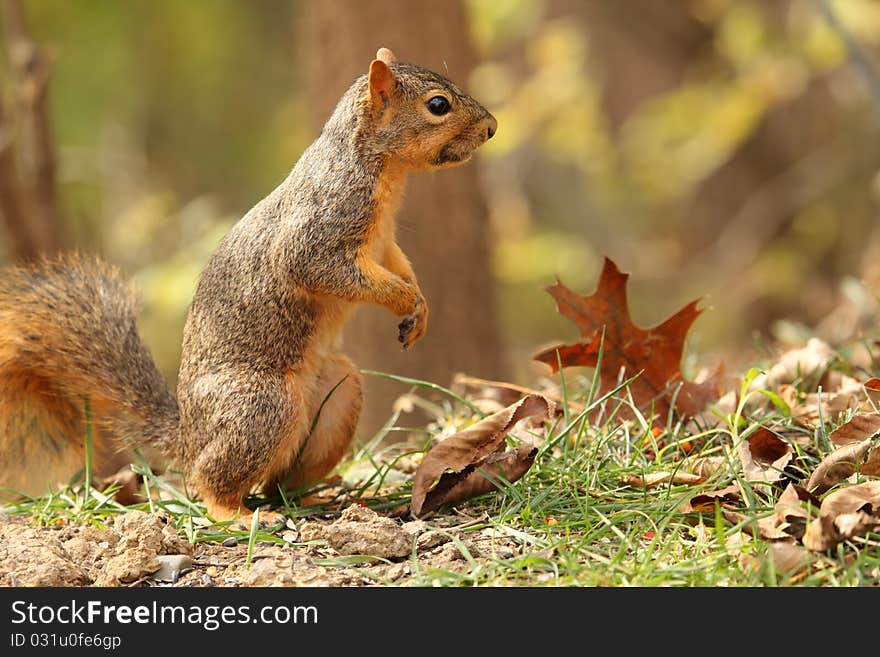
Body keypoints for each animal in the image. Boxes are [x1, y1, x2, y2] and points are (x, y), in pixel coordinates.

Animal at [0, 48, 496, 524]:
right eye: (438, 105)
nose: (491, 127)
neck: (381, 169)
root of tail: (189, 438)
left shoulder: (384, 244)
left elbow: (399, 265)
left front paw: (421, 308)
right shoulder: (321, 228)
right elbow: (317, 267)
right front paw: (404, 298)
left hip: (339, 394)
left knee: (279, 481)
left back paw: (315, 497)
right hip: (260, 407)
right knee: (211, 481)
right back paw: (234, 513)